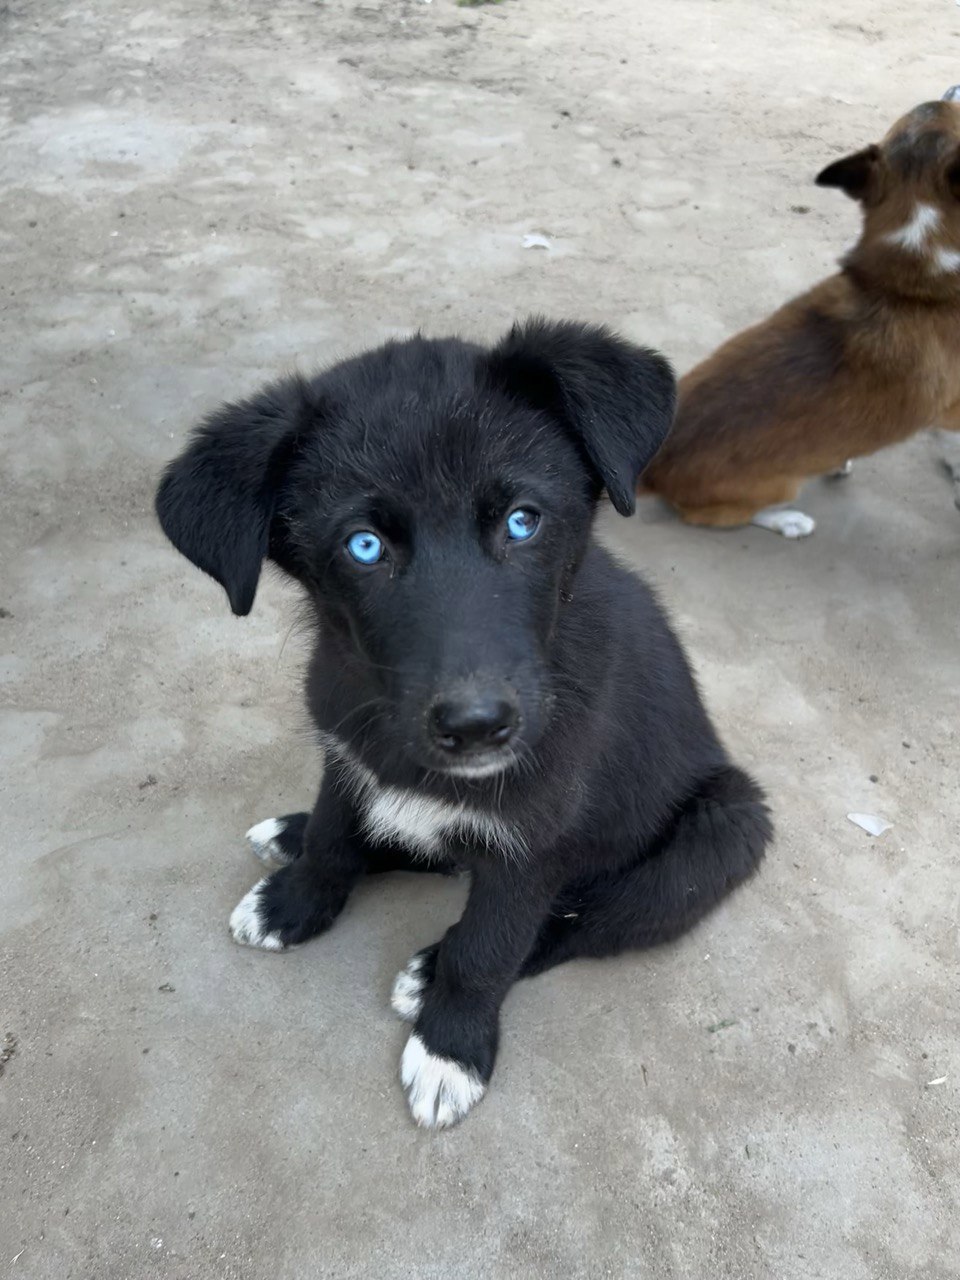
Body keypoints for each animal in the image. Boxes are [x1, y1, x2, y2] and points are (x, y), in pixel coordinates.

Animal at [158, 320, 773, 1131]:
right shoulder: (345, 751)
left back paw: (429, 967)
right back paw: (298, 837)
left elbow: (492, 946)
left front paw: (450, 1044)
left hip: (722, 828)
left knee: (583, 919)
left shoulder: (534, 837)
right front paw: (296, 898)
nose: (477, 726)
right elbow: (334, 835)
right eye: (363, 545)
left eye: (522, 521)